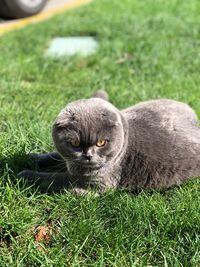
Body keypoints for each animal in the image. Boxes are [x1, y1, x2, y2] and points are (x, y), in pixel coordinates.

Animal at [17, 91, 200, 194]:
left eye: (101, 143)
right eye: (75, 144)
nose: (88, 155)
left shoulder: (95, 184)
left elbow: (55, 179)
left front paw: (24, 174)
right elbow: (56, 156)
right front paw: (33, 157)